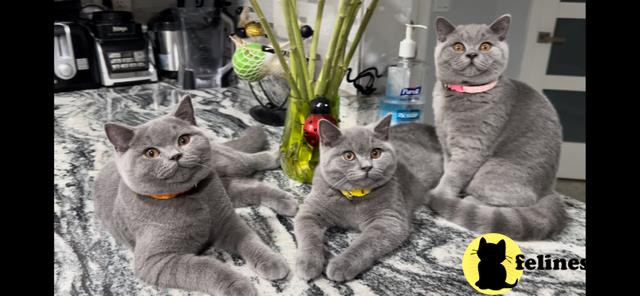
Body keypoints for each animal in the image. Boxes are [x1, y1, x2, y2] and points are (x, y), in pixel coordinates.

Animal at [94, 97, 298, 296]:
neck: (190, 196)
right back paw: (286, 200)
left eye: (183, 140)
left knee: (253, 161)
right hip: (229, 190)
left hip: (230, 166)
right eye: (151, 153)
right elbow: (206, 268)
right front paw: (238, 286)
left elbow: (250, 240)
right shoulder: (155, 262)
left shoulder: (227, 221)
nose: (175, 155)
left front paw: (270, 261)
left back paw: (281, 161)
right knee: (252, 187)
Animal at [292, 114, 442, 282]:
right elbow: (308, 235)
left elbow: (364, 244)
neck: (355, 197)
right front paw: (307, 264)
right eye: (348, 155)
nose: (367, 167)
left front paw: (340, 265)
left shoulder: (390, 220)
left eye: (375, 153)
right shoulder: (311, 210)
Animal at [430, 14, 564, 240]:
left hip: (493, 170)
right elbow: (448, 169)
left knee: (516, 202)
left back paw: (467, 201)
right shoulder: (445, 144)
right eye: (458, 46)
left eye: (485, 46)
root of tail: (549, 190)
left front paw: (440, 195)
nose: (472, 54)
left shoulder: (470, 147)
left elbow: (453, 175)